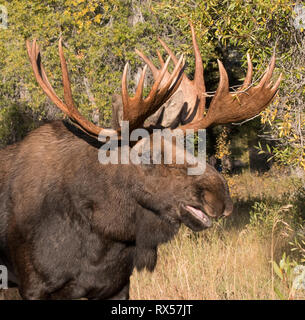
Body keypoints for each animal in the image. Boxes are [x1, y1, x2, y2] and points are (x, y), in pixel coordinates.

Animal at [0, 25, 280, 300]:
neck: (104, 238)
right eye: (148, 155)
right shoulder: (35, 287)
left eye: (186, 144)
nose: (221, 196)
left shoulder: (118, 286)